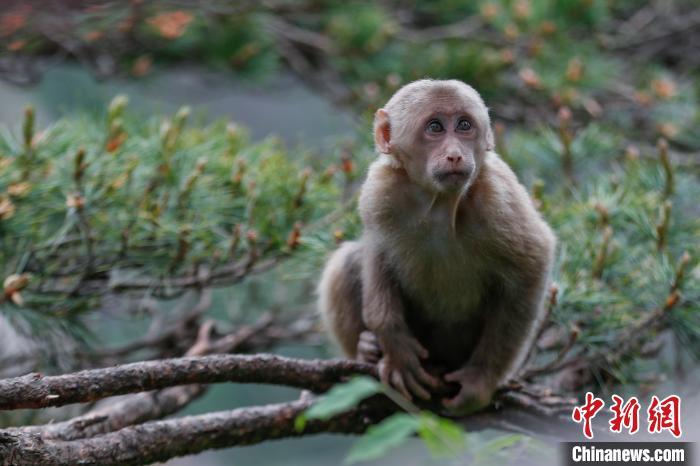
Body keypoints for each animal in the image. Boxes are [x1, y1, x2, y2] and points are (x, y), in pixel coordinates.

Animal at [318, 78, 556, 414]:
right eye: (435, 127)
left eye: (464, 125)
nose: (455, 154)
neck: (438, 205)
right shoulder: (380, 191)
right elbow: (377, 249)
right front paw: (395, 347)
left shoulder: (498, 197)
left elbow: (533, 262)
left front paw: (480, 379)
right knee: (347, 260)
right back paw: (366, 350)